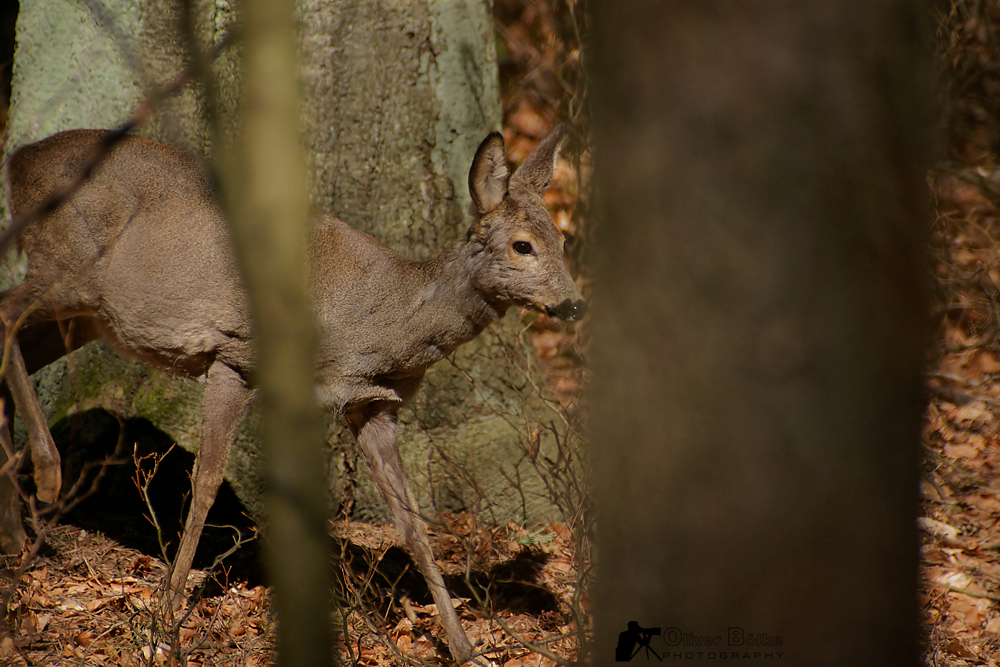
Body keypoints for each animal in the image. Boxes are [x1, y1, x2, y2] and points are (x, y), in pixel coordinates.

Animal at [0, 124, 584, 664]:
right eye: (522, 245)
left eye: (562, 240)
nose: (574, 304)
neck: (380, 325)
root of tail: (19, 159)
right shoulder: (236, 355)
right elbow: (207, 481)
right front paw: (165, 620)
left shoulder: (372, 406)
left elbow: (412, 523)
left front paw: (465, 648)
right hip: (70, 268)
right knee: (6, 312)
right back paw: (48, 476)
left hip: (88, 315)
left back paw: (14, 531)